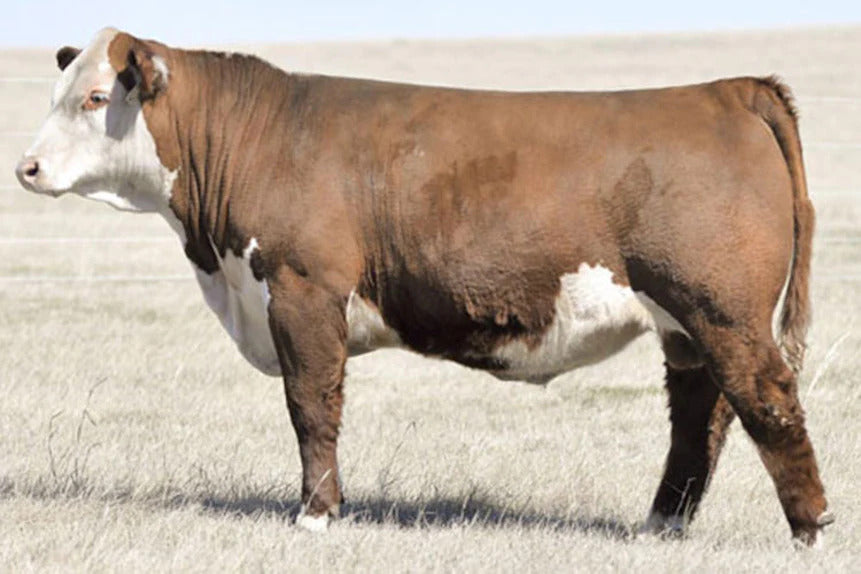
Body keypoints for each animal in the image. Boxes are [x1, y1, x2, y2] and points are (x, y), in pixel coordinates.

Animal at [16, 28, 832, 545]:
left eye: (95, 99)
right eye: (60, 92)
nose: (26, 167)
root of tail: (725, 90)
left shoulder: (302, 291)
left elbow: (311, 407)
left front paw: (315, 515)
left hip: (721, 309)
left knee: (767, 400)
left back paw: (810, 527)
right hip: (684, 322)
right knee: (699, 415)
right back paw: (663, 524)